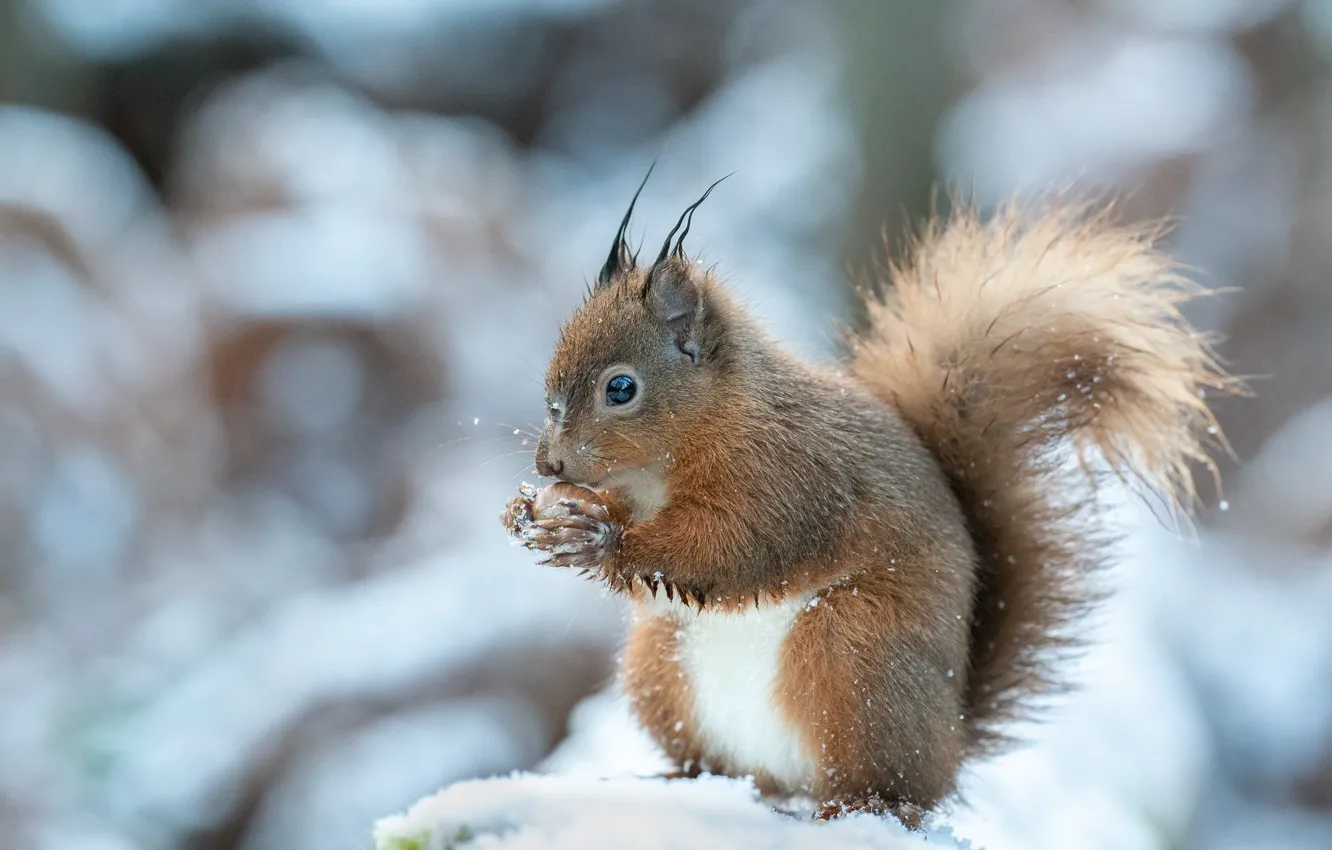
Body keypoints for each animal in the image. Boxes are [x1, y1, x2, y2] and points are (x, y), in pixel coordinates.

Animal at [501, 171, 1232, 824]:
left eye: (621, 389)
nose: (547, 463)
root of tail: (951, 743)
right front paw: (545, 517)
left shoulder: (791, 482)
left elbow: (729, 548)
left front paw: (598, 540)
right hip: (660, 665)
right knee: (730, 769)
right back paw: (678, 778)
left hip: (852, 657)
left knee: (889, 787)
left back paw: (857, 804)